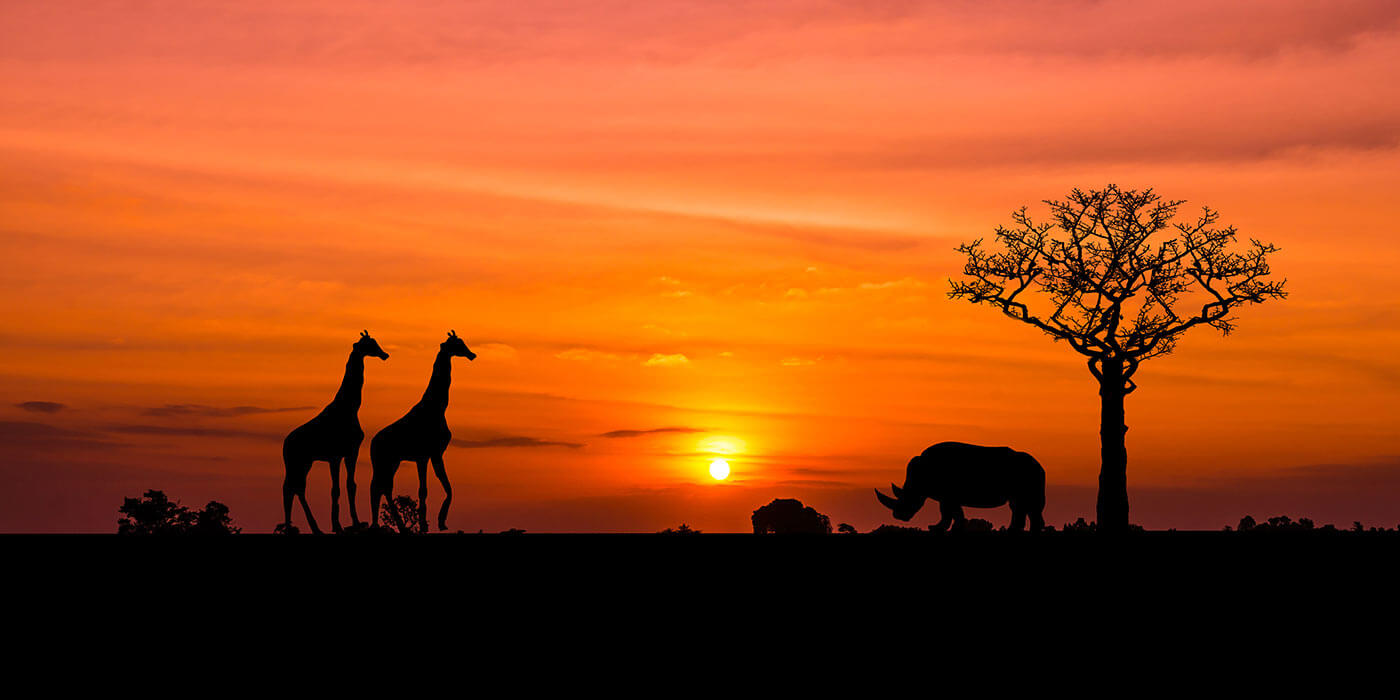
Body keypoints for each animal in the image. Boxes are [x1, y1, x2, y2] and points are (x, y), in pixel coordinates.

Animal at [282, 331, 389, 534]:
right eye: (369, 344)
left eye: (375, 342)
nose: (385, 354)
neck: (350, 408)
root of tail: (284, 444)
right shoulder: (335, 456)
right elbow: (335, 489)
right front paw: (337, 525)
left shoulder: (351, 452)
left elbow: (351, 486)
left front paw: (355, 522)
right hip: (295, 462)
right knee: (290, 489)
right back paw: (295, 528)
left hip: (305, 462)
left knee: (296, 488)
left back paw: (313, 528)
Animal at [369, 331, 476, 532]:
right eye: (457, 344)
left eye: (462, 342)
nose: (472, 354)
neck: (438, 407)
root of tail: (372, 444)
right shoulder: (429, 454)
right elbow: (430, 490)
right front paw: (431, 523)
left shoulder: (429, 455)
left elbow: (440, 488)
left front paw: (436, 522)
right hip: (385, 462)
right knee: (380, 488)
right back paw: (392, 526)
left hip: (392, 462)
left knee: (382, 488)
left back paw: (389, 525)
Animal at [875, 442, 1046, 532]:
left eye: (908, 498)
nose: (898, 516)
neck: (918, 480)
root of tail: (1040, 465)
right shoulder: (948, 496)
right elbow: (953, 512)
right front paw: (948, 528)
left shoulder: (948, 495)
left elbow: (948, 512)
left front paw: (938, 528)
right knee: (1020, 505)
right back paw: (1017, 531)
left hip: (1029, 474)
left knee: (1024, 504)